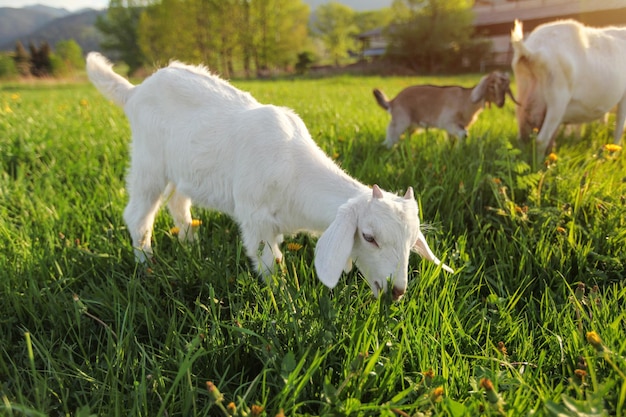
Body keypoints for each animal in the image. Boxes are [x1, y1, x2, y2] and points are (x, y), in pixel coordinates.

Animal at [85, 52, 450, 300]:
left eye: (412, 240)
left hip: (184, 169)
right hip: (149, 161)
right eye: (369, 237)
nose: (396, 291)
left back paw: (190, 243)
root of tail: (134, 92)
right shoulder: (255, 220)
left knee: (178, 201)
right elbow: (271, 264)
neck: (294, 172)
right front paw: (284, 302)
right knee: (138, 214)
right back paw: (145, 262)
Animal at [372, 72, 516, 147]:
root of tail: (393, 101)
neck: (466, 99)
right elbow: (463, 135)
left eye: (505, 89)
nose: (501, 103)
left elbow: (454, 139)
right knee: (391, 136)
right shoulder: (449, 122)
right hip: (400, 121)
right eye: (491, 86)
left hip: (411, 126)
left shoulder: (455, 127)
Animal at [510, 18, 624, 155]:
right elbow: (619, 126)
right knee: (541, 140)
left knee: (522, 138)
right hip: (558, 98)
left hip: (523, 95)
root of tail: (531, 51)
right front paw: (615, 152)